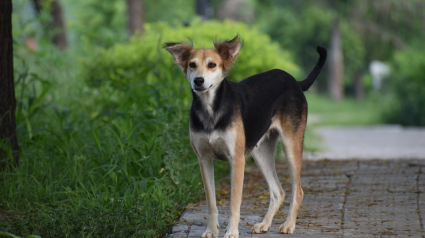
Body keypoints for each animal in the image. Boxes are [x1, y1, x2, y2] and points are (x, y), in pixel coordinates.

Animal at [164, 35, 326, 238]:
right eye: (192, 64)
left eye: (212, 65)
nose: (198, 81)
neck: (211, 110)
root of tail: (295, 81)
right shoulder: (204, 159)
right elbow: (211, 203)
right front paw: (211, 230)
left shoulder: (237, 159)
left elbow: (234, 203)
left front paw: (231, 232)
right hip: (260, 152)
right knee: (278, 192)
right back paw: (264, 224)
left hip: (291, 145)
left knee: (298, 191)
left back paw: (289, 224)